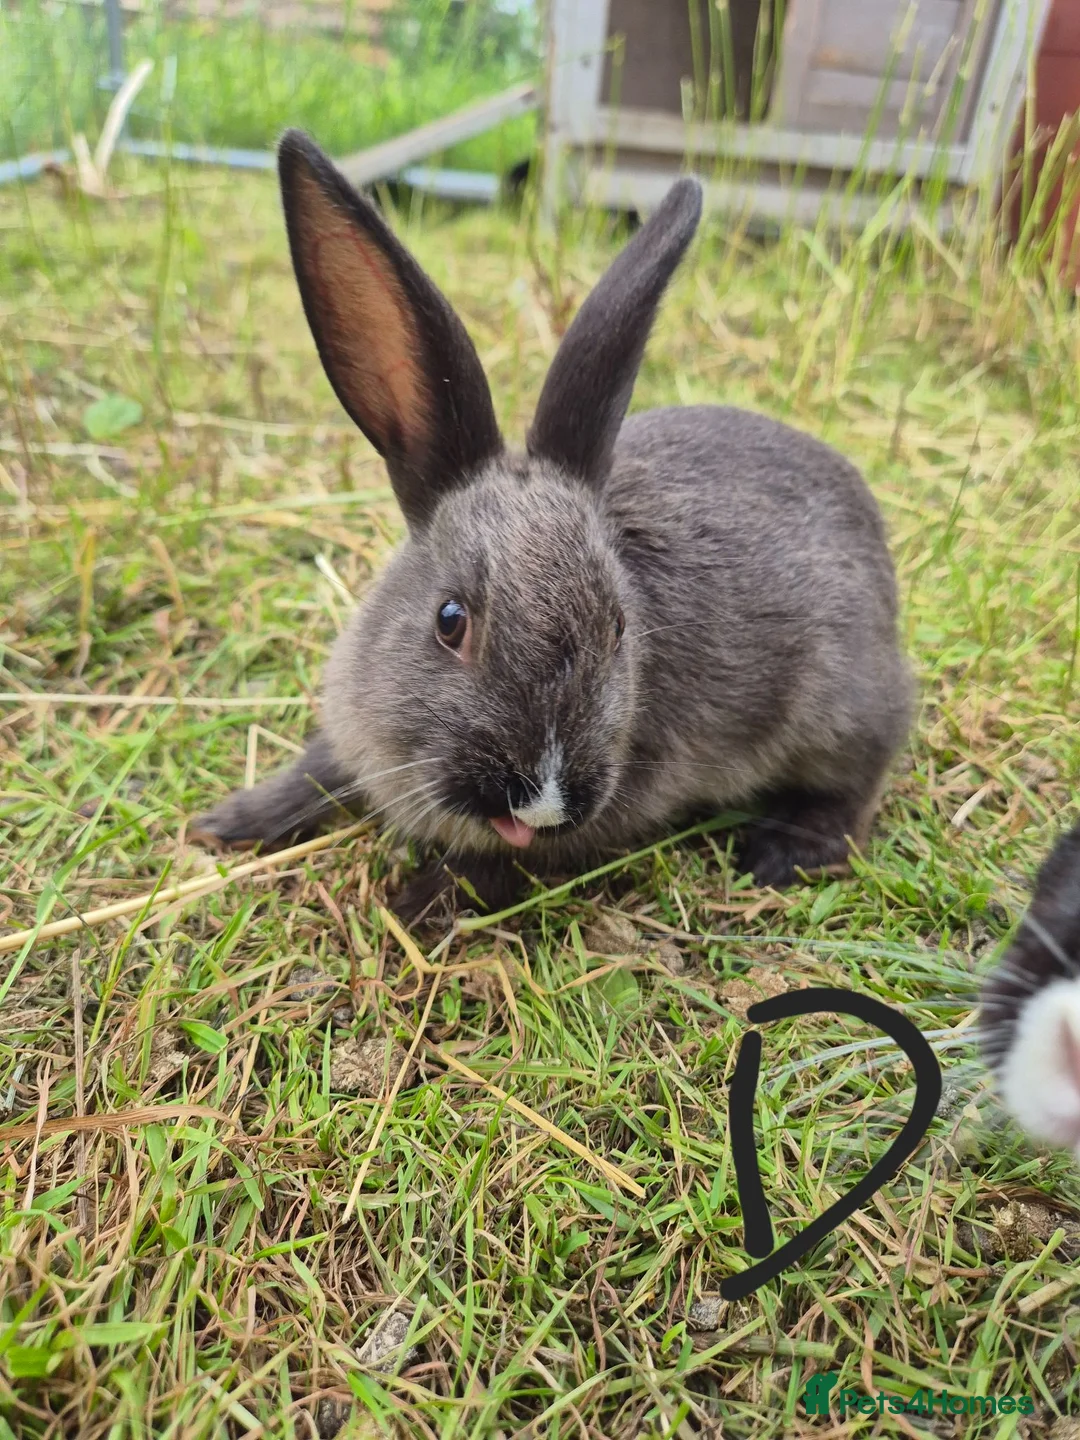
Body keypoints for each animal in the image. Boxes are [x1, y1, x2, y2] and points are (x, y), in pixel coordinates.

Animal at [191, 129, 913, 923]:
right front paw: (225, 823)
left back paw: (783, 851)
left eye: (619, 629)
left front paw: (413, 907)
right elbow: (316, 771)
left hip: (840, 713)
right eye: (449, 619)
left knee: (857, 786)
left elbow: (495, 868)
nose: (542, 800)